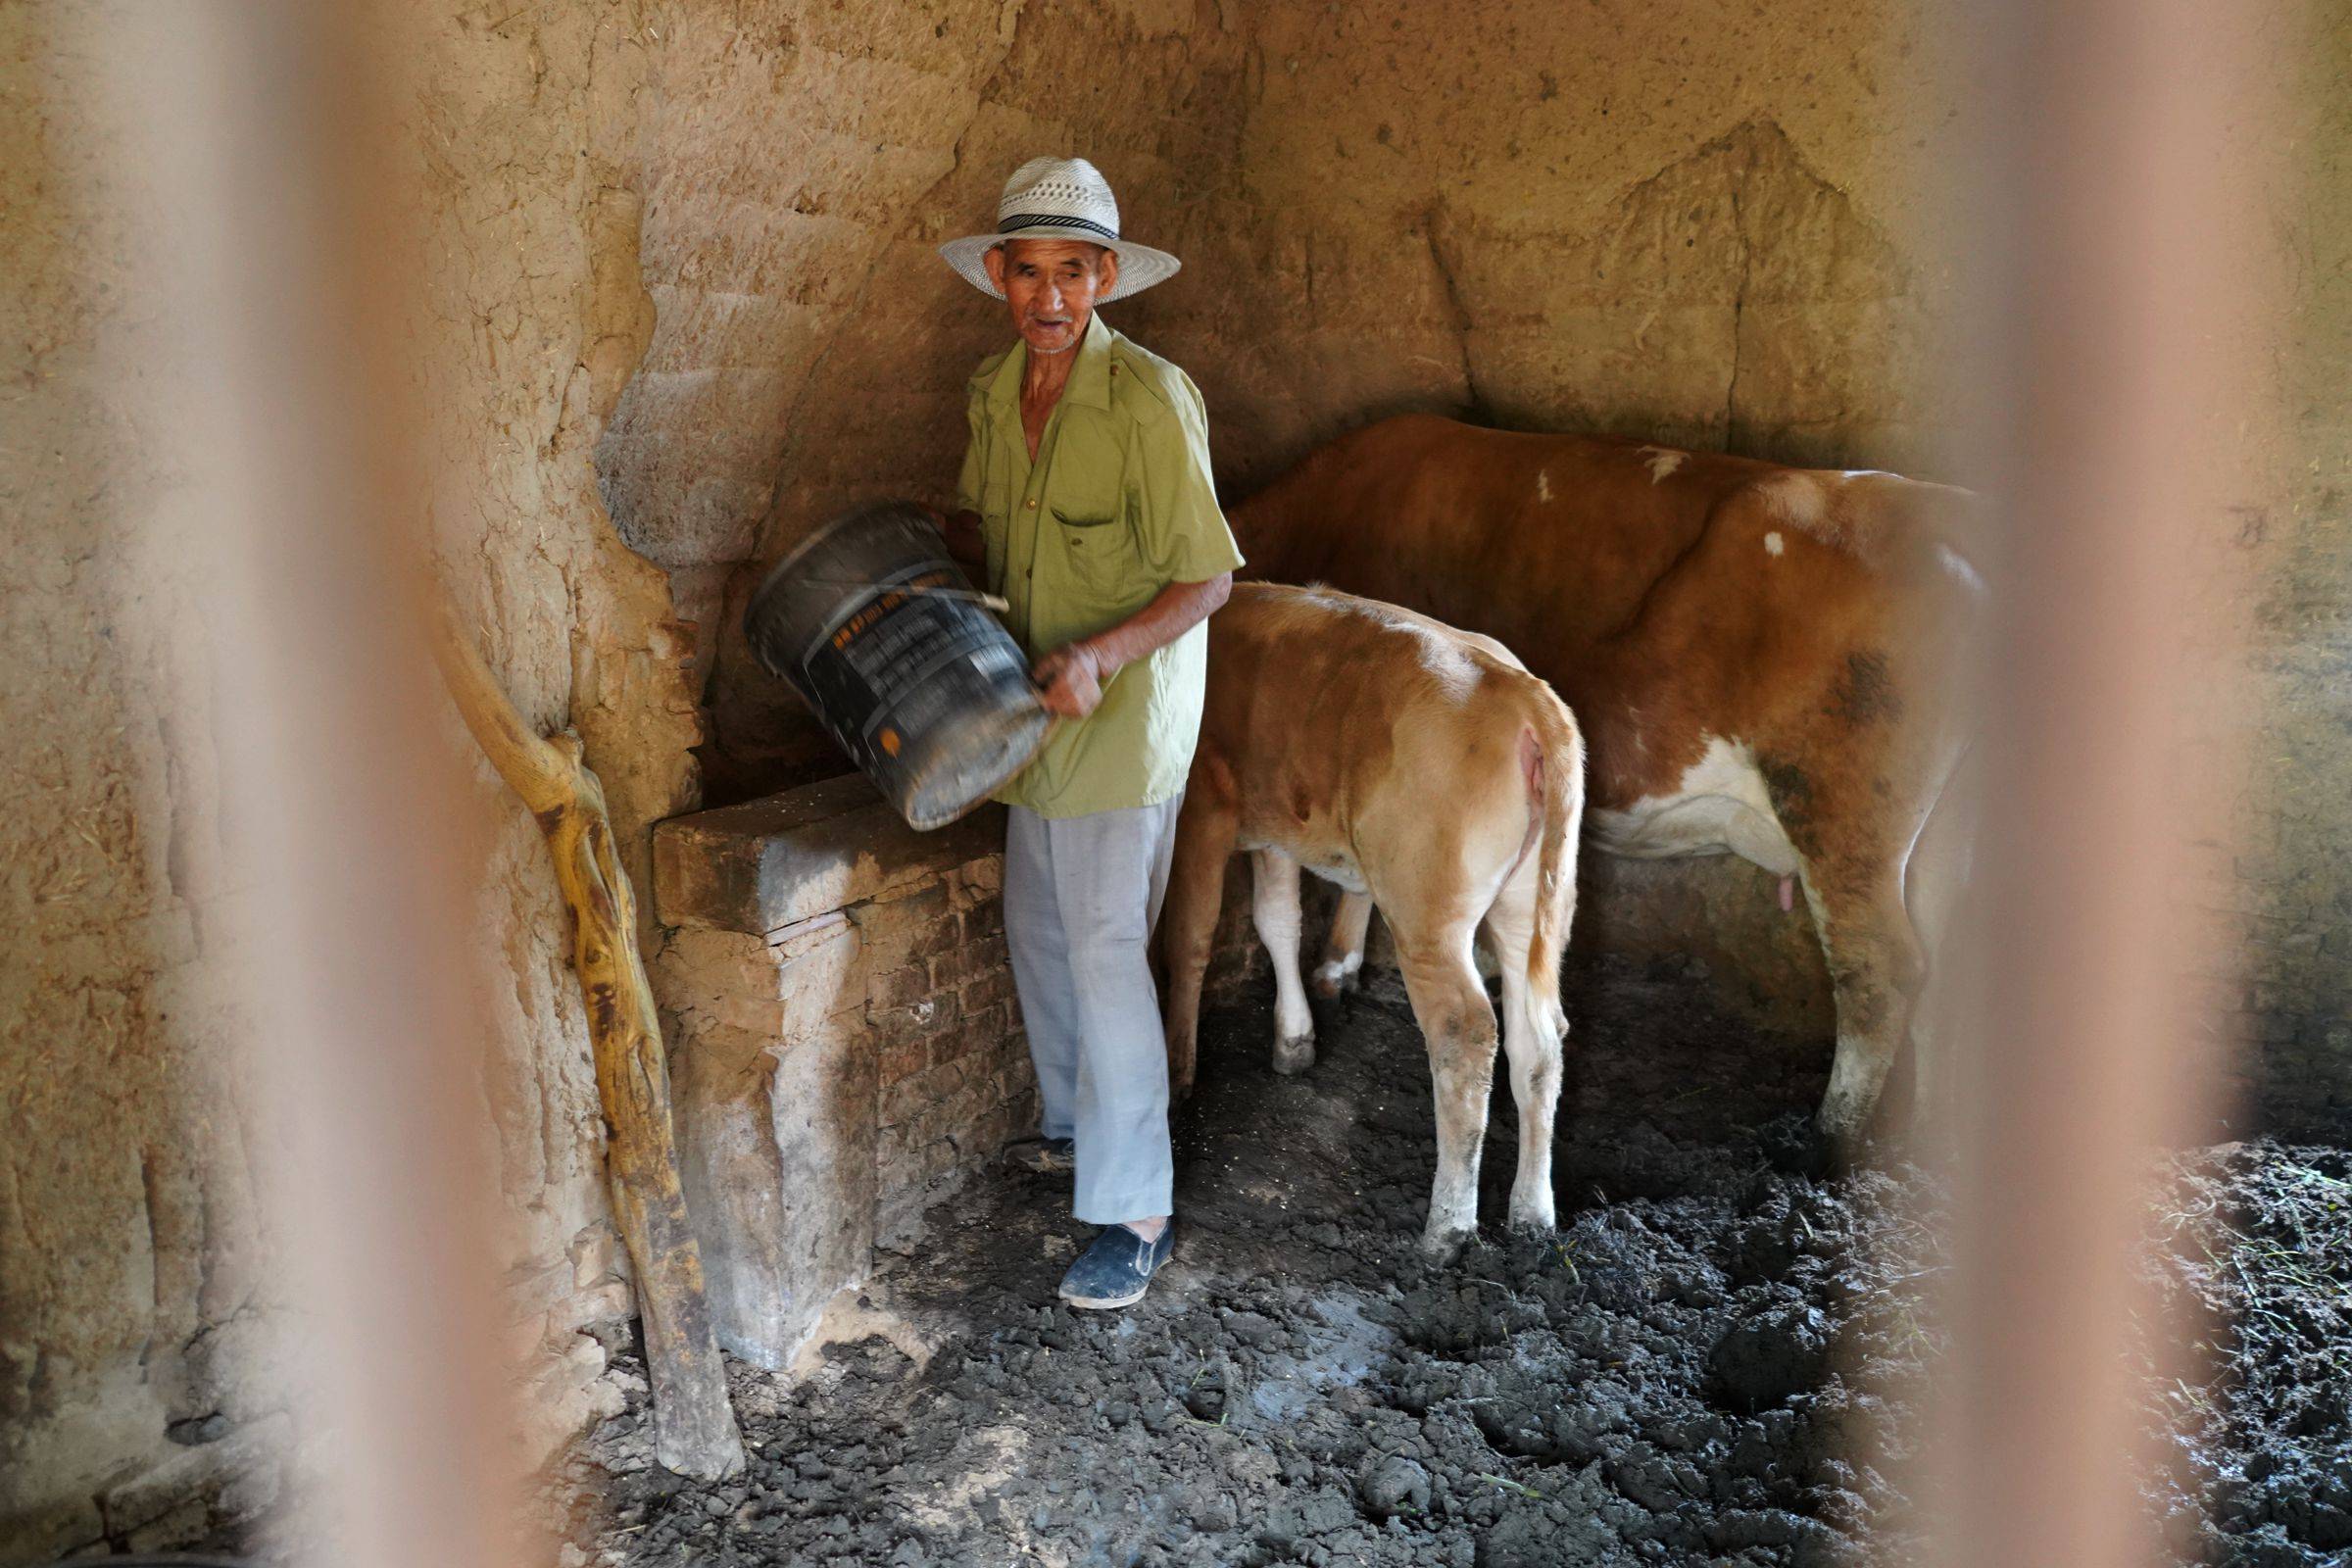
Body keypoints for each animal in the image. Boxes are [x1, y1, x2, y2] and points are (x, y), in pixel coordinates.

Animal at [1156, 582, 1580, 1259]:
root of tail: (1520, 689)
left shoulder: (1200, 809)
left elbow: (1191, 939)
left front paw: (1177, 1077)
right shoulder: (1278, 826)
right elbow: (1278, 921)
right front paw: (1294, 1039)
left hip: (1427, 912)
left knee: (1466, 1032)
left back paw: (1447, 1227)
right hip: (1529, 907)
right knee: (1539, 1039)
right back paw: (1533, 1214)